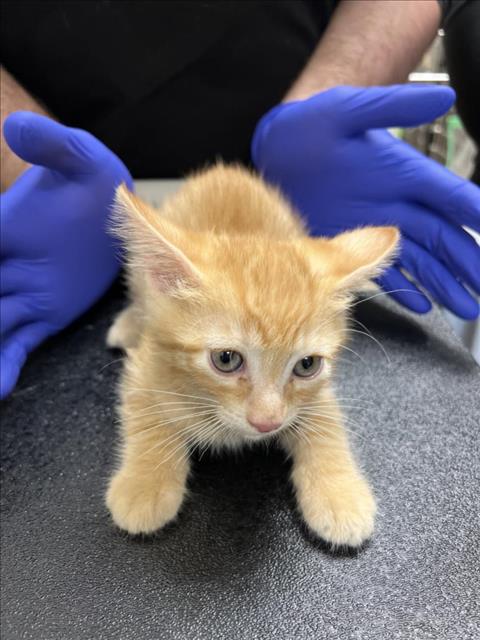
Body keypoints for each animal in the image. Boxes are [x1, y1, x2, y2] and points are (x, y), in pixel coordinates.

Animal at [107, 162, 400, 548]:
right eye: (226, 359)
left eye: (306, 365)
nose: (267, 423)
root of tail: (225, 169)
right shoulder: (145, 363)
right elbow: (146, 415)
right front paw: (144, 484)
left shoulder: (314, 395)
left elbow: (326, 422)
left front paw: (340, 495)